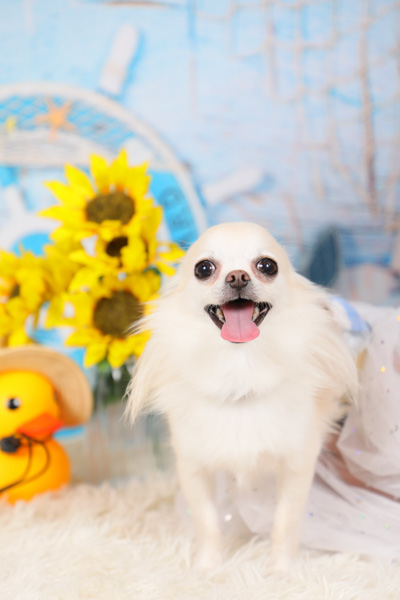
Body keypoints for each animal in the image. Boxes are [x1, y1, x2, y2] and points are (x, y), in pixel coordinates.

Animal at [126, 222, 358, 571]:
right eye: (204, 269)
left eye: (267, 266)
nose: (237, 276)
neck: (240, 373)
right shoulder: (193, 467)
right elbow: (207, 522)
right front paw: (207, 567)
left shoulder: (297, 464)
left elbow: (285, 522)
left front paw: (282, 570)